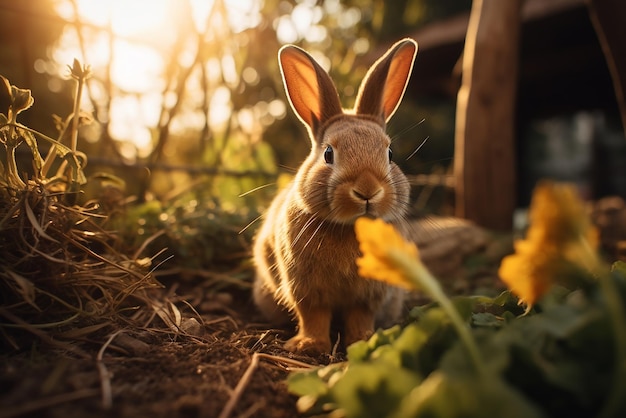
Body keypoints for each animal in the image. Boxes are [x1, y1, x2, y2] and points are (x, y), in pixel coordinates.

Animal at [251, 37, 416, 354]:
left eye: (390, 154)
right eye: (328, 153)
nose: (367, 191)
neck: (350, 228)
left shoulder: (368, 295)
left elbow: (360, 316)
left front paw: (364, 340)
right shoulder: (306, 289)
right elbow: (313, 316)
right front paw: (308, 345)